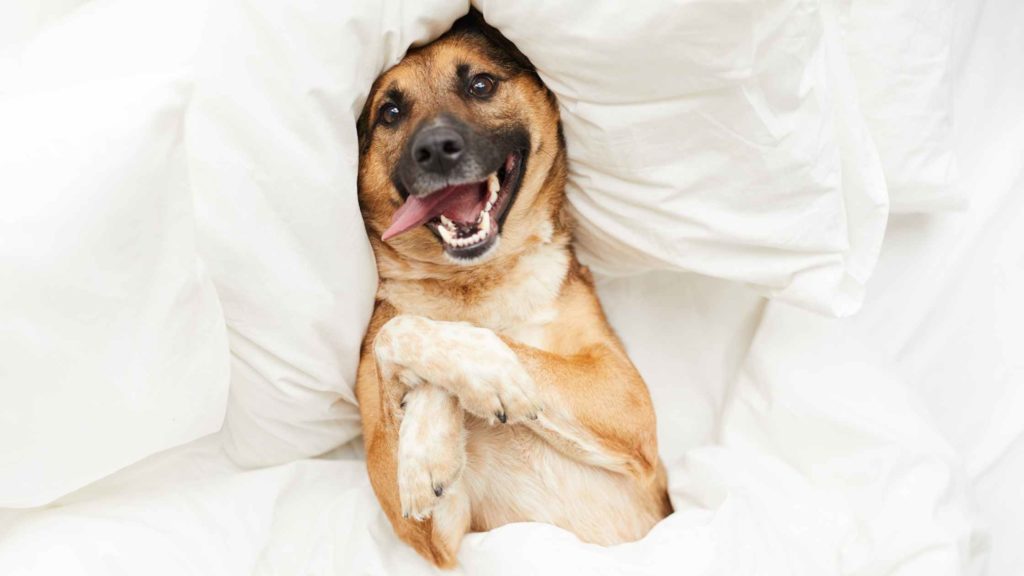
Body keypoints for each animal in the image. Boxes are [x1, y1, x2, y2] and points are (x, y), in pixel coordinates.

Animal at [354, 11, 671, 565]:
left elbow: (486, 342)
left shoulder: (626, 399)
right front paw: (429, 447)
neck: (476, 283)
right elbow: (398, 330)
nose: (435, 150)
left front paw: (485, 378)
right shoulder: (432, 534)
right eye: (390, 112)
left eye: (480, 84)